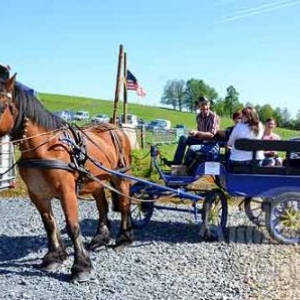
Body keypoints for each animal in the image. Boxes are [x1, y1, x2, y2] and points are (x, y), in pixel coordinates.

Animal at [0, 76, 132, 282]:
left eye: (2, 106)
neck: (46, 149)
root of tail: (115, 127)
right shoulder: (37, 194)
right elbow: (49, 224)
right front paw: (54, 257)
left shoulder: (66, 192)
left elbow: (72, 226)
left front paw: (81, 267)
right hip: (95, 181)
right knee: (102, 206)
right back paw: (100, 238)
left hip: (121, 177)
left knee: (125, 204)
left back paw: (123, 240)